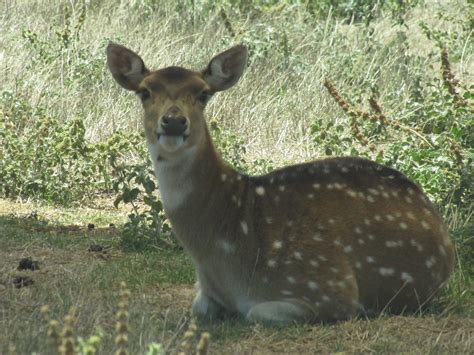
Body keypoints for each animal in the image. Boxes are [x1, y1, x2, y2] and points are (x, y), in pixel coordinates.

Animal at [106, 43, 456, 324]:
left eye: (203, 93)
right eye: (144, 92)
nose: (174, 121)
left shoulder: (329, 287)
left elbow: (257, 312)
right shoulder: (205, 292)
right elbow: (200, 308)